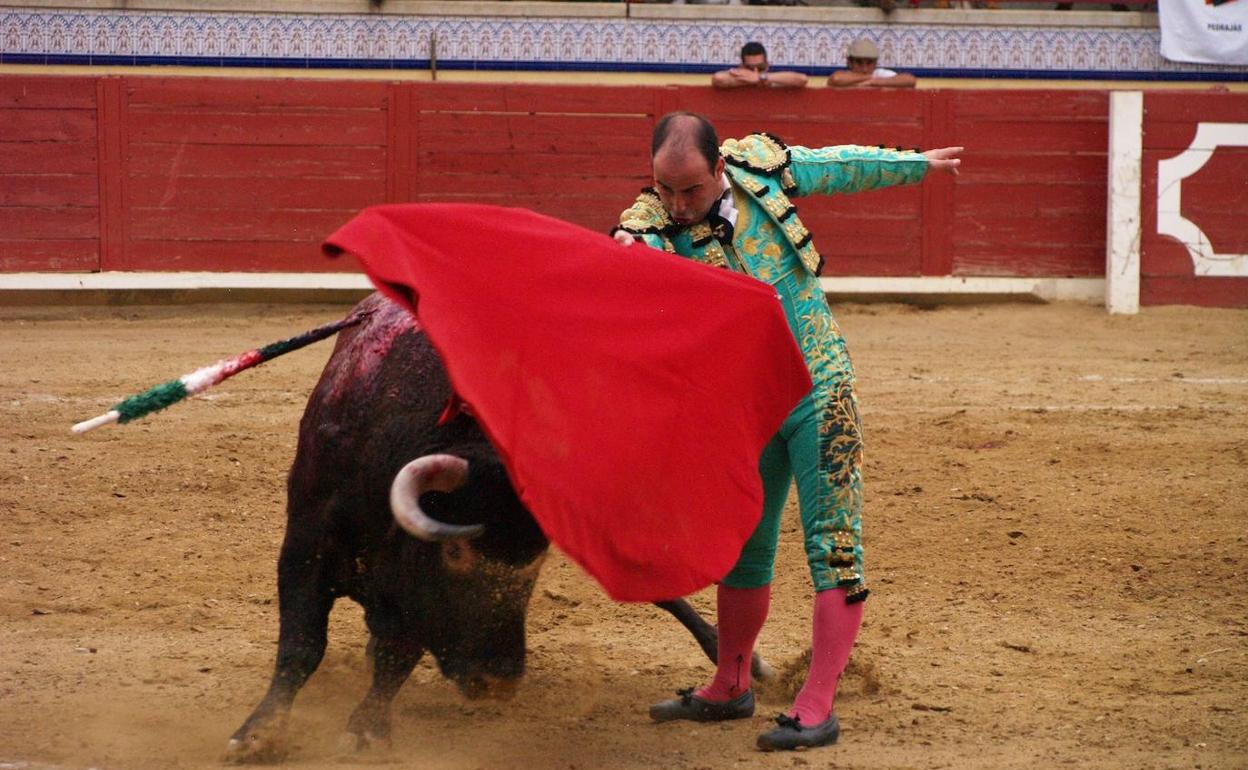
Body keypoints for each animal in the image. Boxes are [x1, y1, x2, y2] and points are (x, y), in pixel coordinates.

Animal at [228, 293, 763, 758]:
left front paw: (366, 730)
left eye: (537, 559)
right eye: (455, 551)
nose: (497, 681)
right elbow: (300, 645)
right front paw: (256, 734)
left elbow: (397, 655)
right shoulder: (305, 544)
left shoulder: (412, 596)